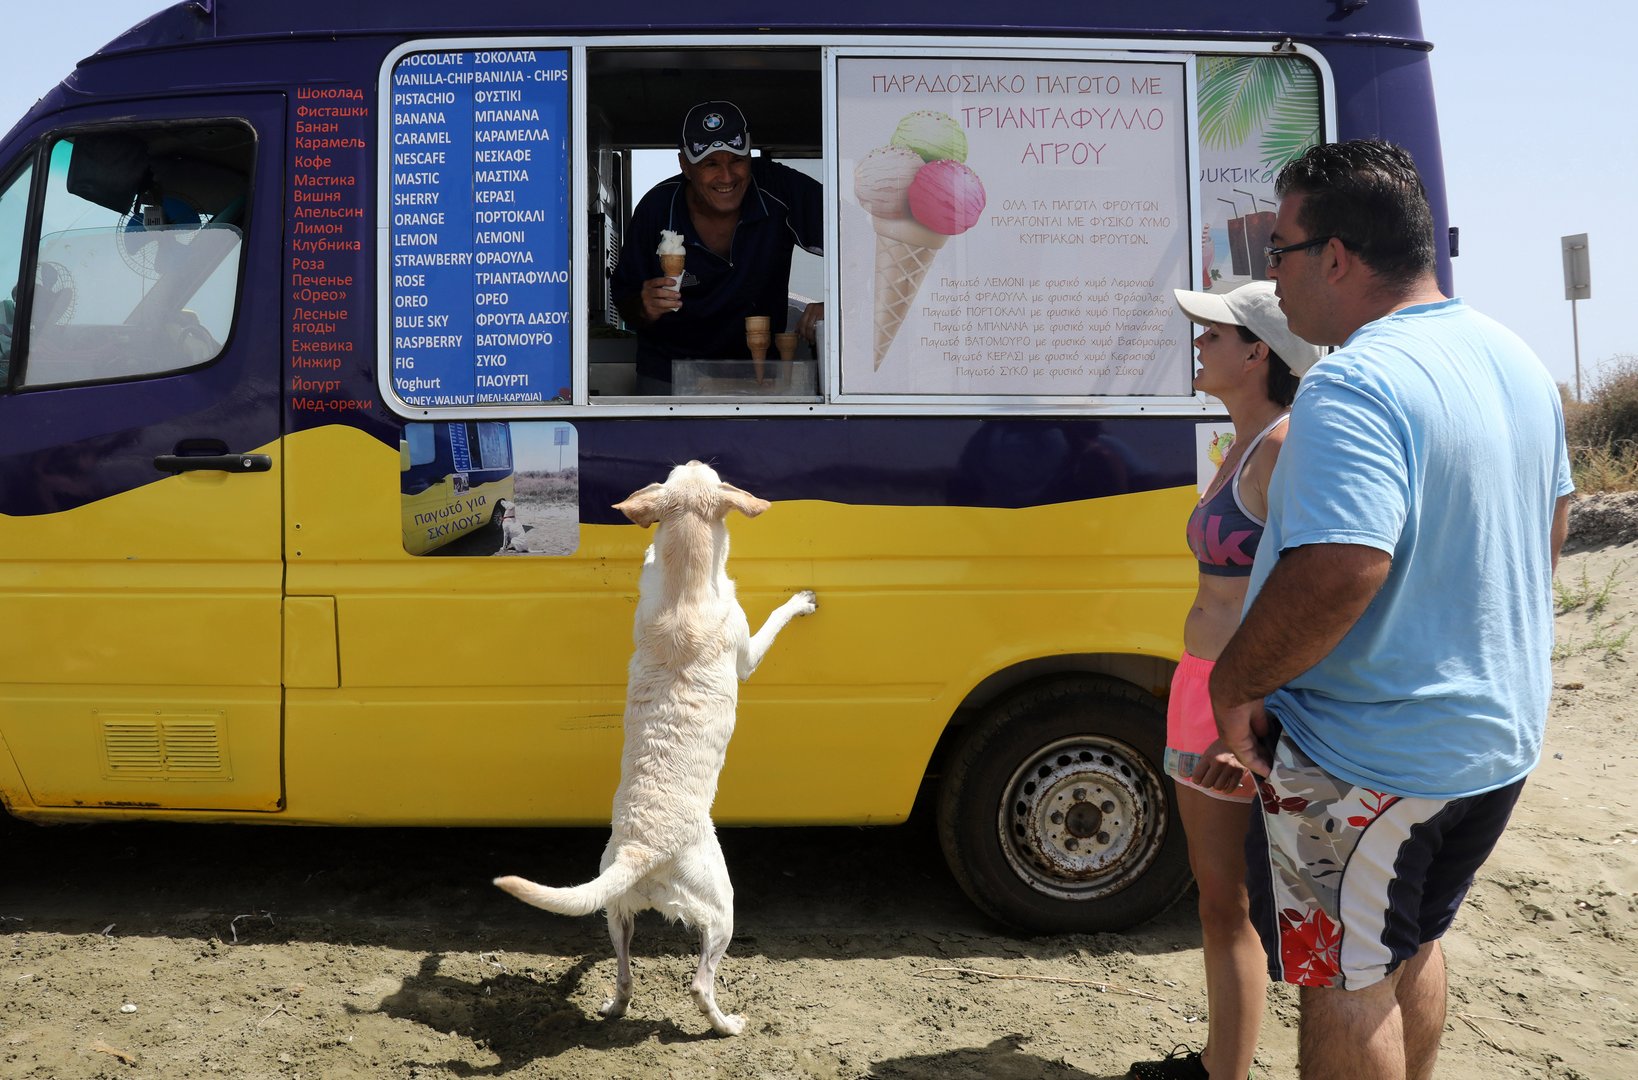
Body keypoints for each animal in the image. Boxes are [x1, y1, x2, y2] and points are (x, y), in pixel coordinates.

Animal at [488, 462, 815, 1035]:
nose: (695, 461)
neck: (686, 587)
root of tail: (643, 849)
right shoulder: (747, 653)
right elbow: (772, 623)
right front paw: (798, 602)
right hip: (721, 906)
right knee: (700, 983)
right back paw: (726, 1025)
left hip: (616, 911)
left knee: (623, 974)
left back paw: (613, 1007)